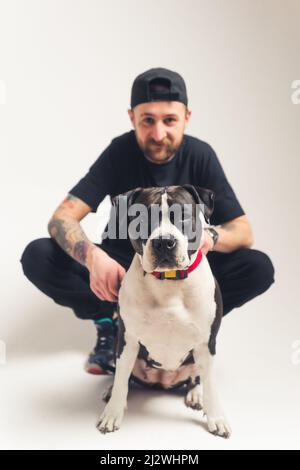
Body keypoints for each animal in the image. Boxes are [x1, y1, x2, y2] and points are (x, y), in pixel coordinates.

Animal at [96, 185, 232, 440]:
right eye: (141, 220)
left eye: (184, 217)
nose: (164, 242)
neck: (169, 283)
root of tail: (162, 382)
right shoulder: (128, 339)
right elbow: (121, 379)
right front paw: (112, 413)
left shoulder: (206, 342)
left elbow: (210, 384)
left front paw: (217, 418)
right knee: (123, 376)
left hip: (196, 356)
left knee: (197, 377)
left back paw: (195, 394)